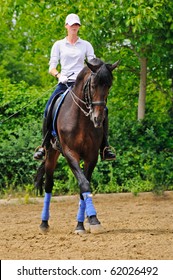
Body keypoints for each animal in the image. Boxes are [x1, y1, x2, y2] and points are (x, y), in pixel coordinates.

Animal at [34, 58, 119, 234]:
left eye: (109, 85)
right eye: (92, 85)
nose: (98, 119)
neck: (82, 118)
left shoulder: (91, 156)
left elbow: (84, 186)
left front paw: (86, 222)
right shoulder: (70, 153)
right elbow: (84, 183)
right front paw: (90, 221)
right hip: (51, 153)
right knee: (48, 185)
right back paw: (44, 223)